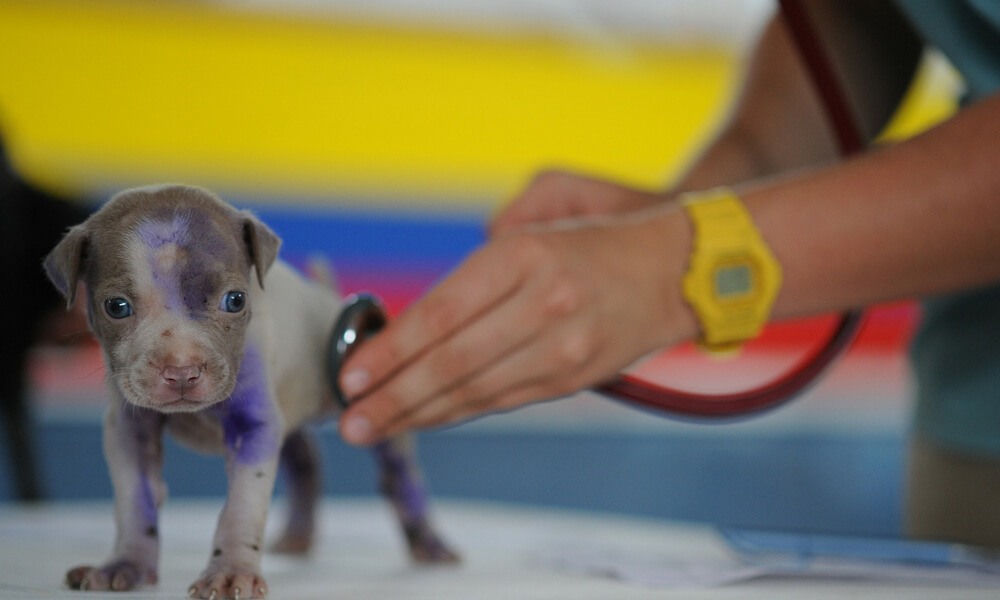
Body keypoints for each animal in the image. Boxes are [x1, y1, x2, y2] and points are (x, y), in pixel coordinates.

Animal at [43, 186, 458, 600]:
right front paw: (126, 564)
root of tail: (325, 297)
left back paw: (430, 543)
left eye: (236, 300)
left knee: (399, 473)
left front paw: (229, 571)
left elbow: (241, 508)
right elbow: (135, 500)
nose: (182, 371)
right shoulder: (129, 430)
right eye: (117, 307)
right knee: (305, 459)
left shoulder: (254, 428)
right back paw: (298, 536)